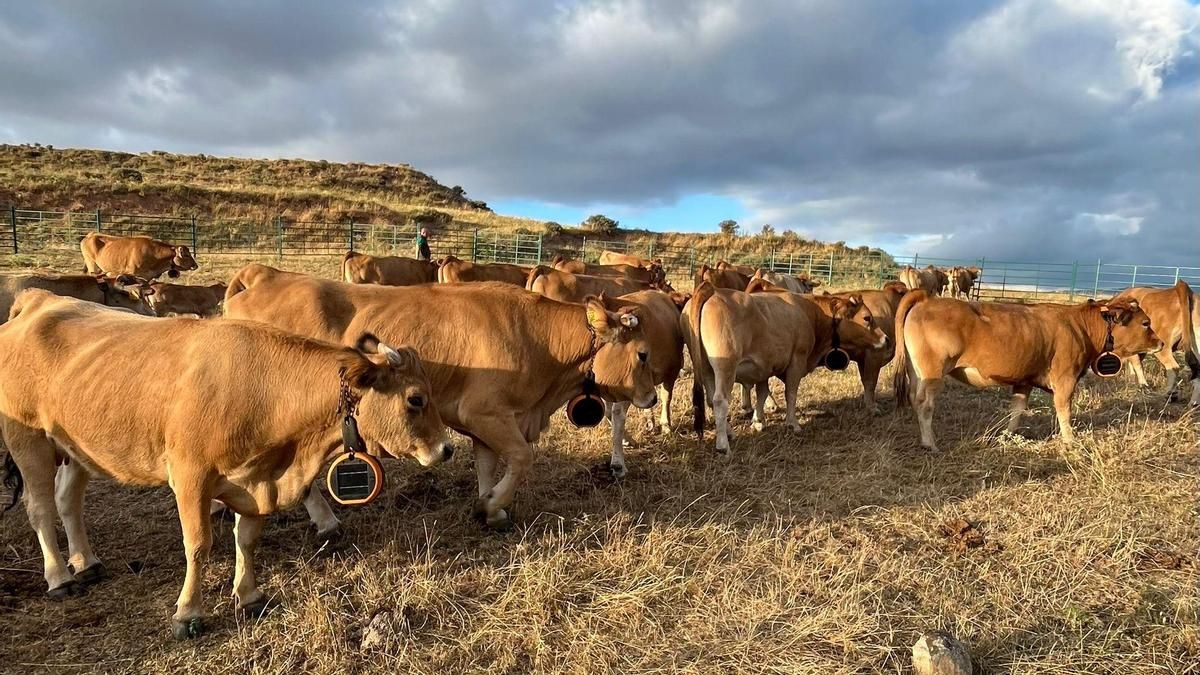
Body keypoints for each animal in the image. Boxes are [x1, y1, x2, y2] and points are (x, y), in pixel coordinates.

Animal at [0, 290, 451, 639]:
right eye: (415, 399)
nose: (446, 449)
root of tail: (37, 301)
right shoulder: (191, 476)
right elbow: (198, 545)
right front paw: (188, 612)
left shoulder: (256, 480)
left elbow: (246, 539)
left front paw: (248, 595)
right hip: (28, 441)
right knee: (40, 509)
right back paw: (59, 577)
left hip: (78, 448)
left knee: (67, 500)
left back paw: (86, 561)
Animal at [605, 290, 688, 478]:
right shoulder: (671, 371)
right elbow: (666, 398)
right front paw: (666, 426)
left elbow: (649, 402)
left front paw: (651, 422)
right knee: (617, 413)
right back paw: (618, 464)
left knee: (608, 410)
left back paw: (627, 440)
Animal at [683, 281, 888, 453]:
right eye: (867, 318)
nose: (885, 338)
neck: (811, 313)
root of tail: (712, 290)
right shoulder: (797, 360)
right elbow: (791, 393)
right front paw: (792, 423)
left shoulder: (763, 367)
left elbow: (762, 393)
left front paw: (758, 421)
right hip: (725, 367)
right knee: (719, 400)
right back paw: (723, 444)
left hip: (706, 369)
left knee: (711, 399)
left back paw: (730, 433)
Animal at [893, 293, 1162, 451]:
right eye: (1146, 323)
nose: (1160, 342)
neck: (1079, 326)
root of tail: (927, 299)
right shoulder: (1066, 380)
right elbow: (1064, 412)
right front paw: (1070, 441)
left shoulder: (1024, 381)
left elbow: (1017, 410)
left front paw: (1008, 436)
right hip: (933, 373)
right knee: (925, 405)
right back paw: (930, 443)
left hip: (915, 373)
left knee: (915, 399)